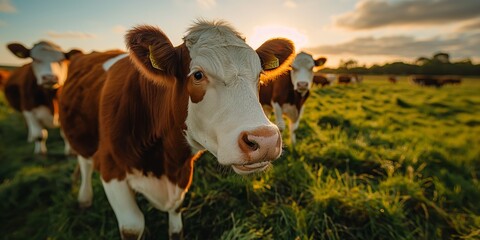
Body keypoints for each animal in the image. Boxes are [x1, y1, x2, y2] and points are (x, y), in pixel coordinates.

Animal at [58, 21, 294, 240]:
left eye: (260, 74)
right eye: (197, 75)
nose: (265, 140)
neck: (166, 161)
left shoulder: (181, 176)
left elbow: (176, 221)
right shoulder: (111, 168)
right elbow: (133, 226)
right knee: (85, 162)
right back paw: (84, 198)